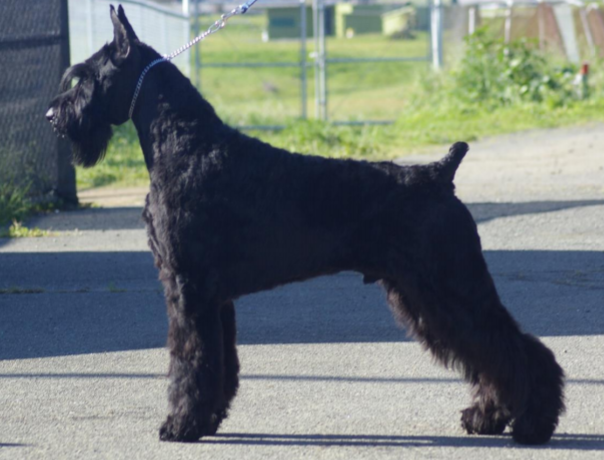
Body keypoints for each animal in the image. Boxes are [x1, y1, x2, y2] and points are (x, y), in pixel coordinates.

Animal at [48, 4, 568, 446]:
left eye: (85, 78)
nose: (54, 115)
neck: (183, 140)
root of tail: (439, 174)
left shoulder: (186, 289)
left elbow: (190, 359)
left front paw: (180, 424)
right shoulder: (214, 297)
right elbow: (219, 360)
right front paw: (208, 419)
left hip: (447, 288)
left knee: (515, 349)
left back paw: (533, 424)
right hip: (427, 295)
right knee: (493, 353)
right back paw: (488, 417)